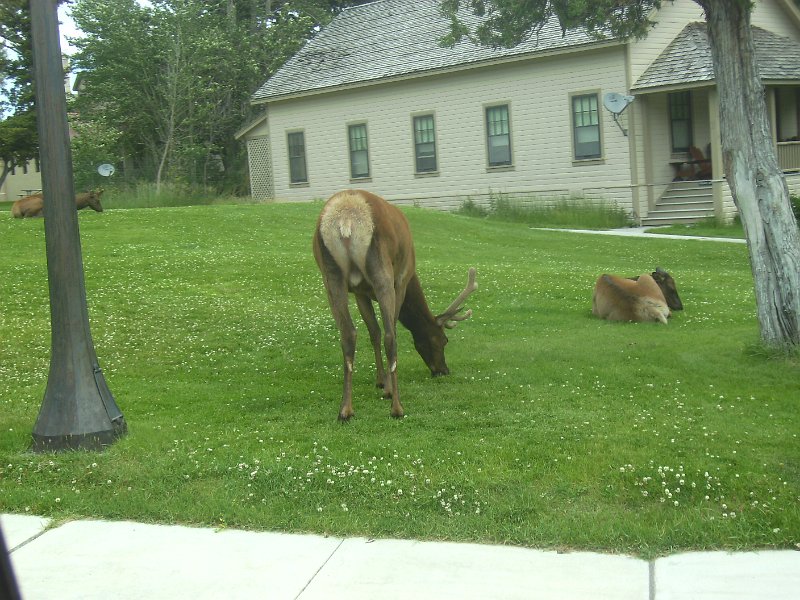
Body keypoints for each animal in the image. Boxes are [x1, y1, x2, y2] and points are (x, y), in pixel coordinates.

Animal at [310, 190, 476, 420]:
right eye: (444, 340)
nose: (443, 371)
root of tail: (346, 218)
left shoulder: (360, 292)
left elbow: (374, 332)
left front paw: (380, 381)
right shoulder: (402, 280)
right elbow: (389, 331)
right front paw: (387, 388)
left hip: (330, 276)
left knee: (348, 334)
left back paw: (345, 410)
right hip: (382, 270)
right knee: (390, 336)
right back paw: (396, 407)